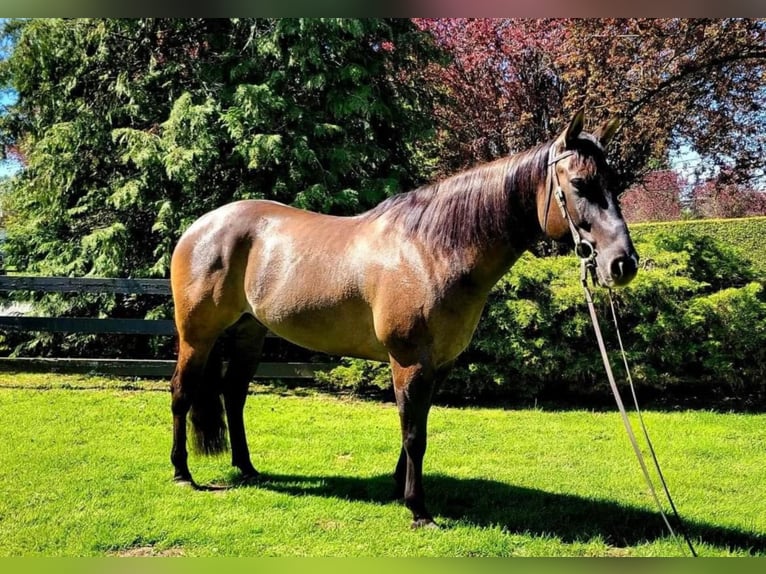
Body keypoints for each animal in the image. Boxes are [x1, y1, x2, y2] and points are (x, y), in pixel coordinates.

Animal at [170, 109, 640, 532]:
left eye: (613, 184)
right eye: (579, 184)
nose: (623, 264)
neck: (430, 251)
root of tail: (200, 227)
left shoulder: (440, 364)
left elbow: (418, 424)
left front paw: (400, 488)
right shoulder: (409, 361)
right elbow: (414, 432)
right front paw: (418, 509)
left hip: (250, 332)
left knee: (233, 395)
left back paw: (247, 468)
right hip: (197, 335)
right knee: (182, 392)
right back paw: (182, 473)